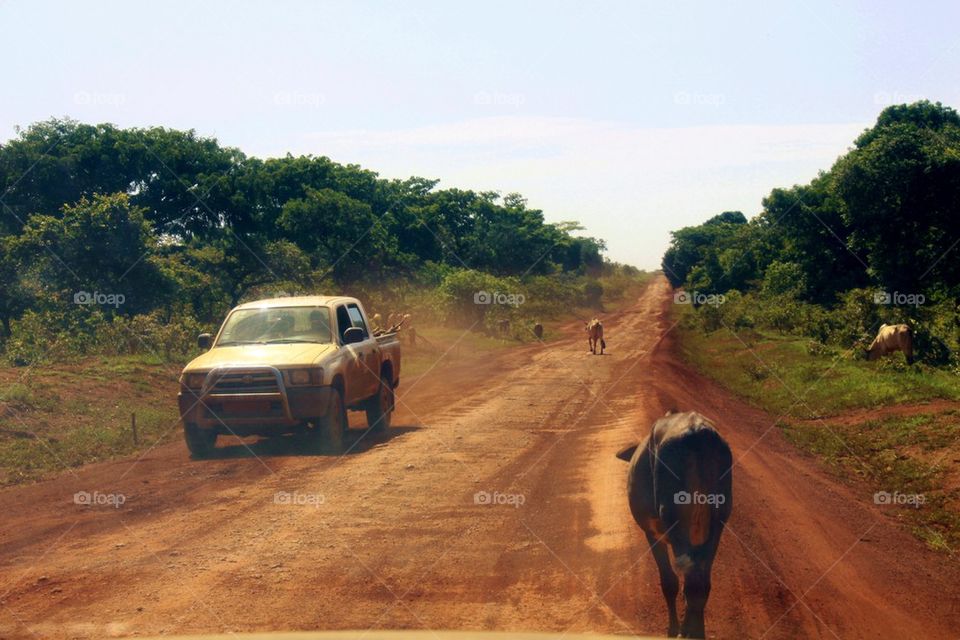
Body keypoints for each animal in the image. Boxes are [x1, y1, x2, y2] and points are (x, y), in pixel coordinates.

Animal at [616, 412, 736, 636]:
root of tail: (697, 432)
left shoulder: (652, 533)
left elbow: (669, 582)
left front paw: (673, 628)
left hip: (676, 524)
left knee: (690, 582)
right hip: (717, 525)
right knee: (700, 585)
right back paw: (695, 630)